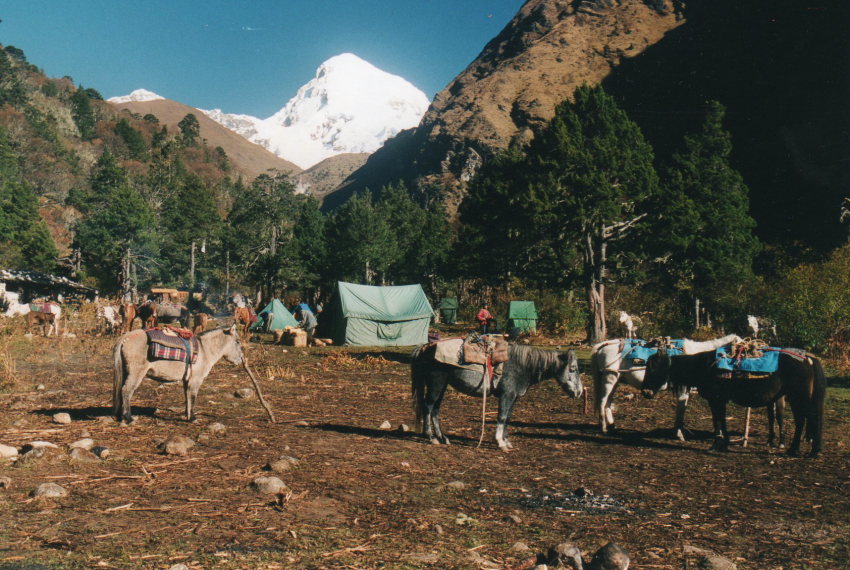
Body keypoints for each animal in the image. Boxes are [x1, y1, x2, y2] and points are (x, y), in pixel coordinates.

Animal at [112, 324, 242, 422]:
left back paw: (120, 416)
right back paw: (128, 417)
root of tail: (126, 337)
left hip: (126, 372)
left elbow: (187, 396)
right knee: (126, 390)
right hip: (135, 373)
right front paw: (192, 418)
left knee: (121, 390)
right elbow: (193, 397)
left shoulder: (187, 380)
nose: (240, 360)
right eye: (237, 341)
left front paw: (187, 414)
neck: (204, 349)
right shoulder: (196, 380)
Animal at [410, 342, 584, 448]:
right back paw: (431, 438)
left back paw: (443, 438)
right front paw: (500, 442)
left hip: (441, 386)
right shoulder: (507, 396)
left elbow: (508, 418)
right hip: (436, 385)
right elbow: (501, 417)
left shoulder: (513, 397)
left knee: (435, 409)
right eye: (573, 368)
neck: (521, 365)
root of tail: (424, 348)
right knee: (428, 407)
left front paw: (506, 441)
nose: (579, 392)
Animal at [588, 330, 744, 438]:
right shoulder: (683, 388)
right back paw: (603, 428)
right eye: (742, 350)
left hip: (615, 380)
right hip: (610, 378)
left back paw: (612, 426)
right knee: (603, 401)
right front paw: (679, 434)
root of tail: (604, 345)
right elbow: (681, 408)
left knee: (608, 402)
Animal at [644, 344, 820, 454]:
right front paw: (723, 444)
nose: (645, 391)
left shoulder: (716, 400)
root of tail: (808, 359)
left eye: (654, 368)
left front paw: (717, 445)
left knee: (804, 420)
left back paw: (800, 449)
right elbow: (720, 421)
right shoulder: (718, 401)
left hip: (798, 397)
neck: (705, 366)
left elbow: (718, 422)